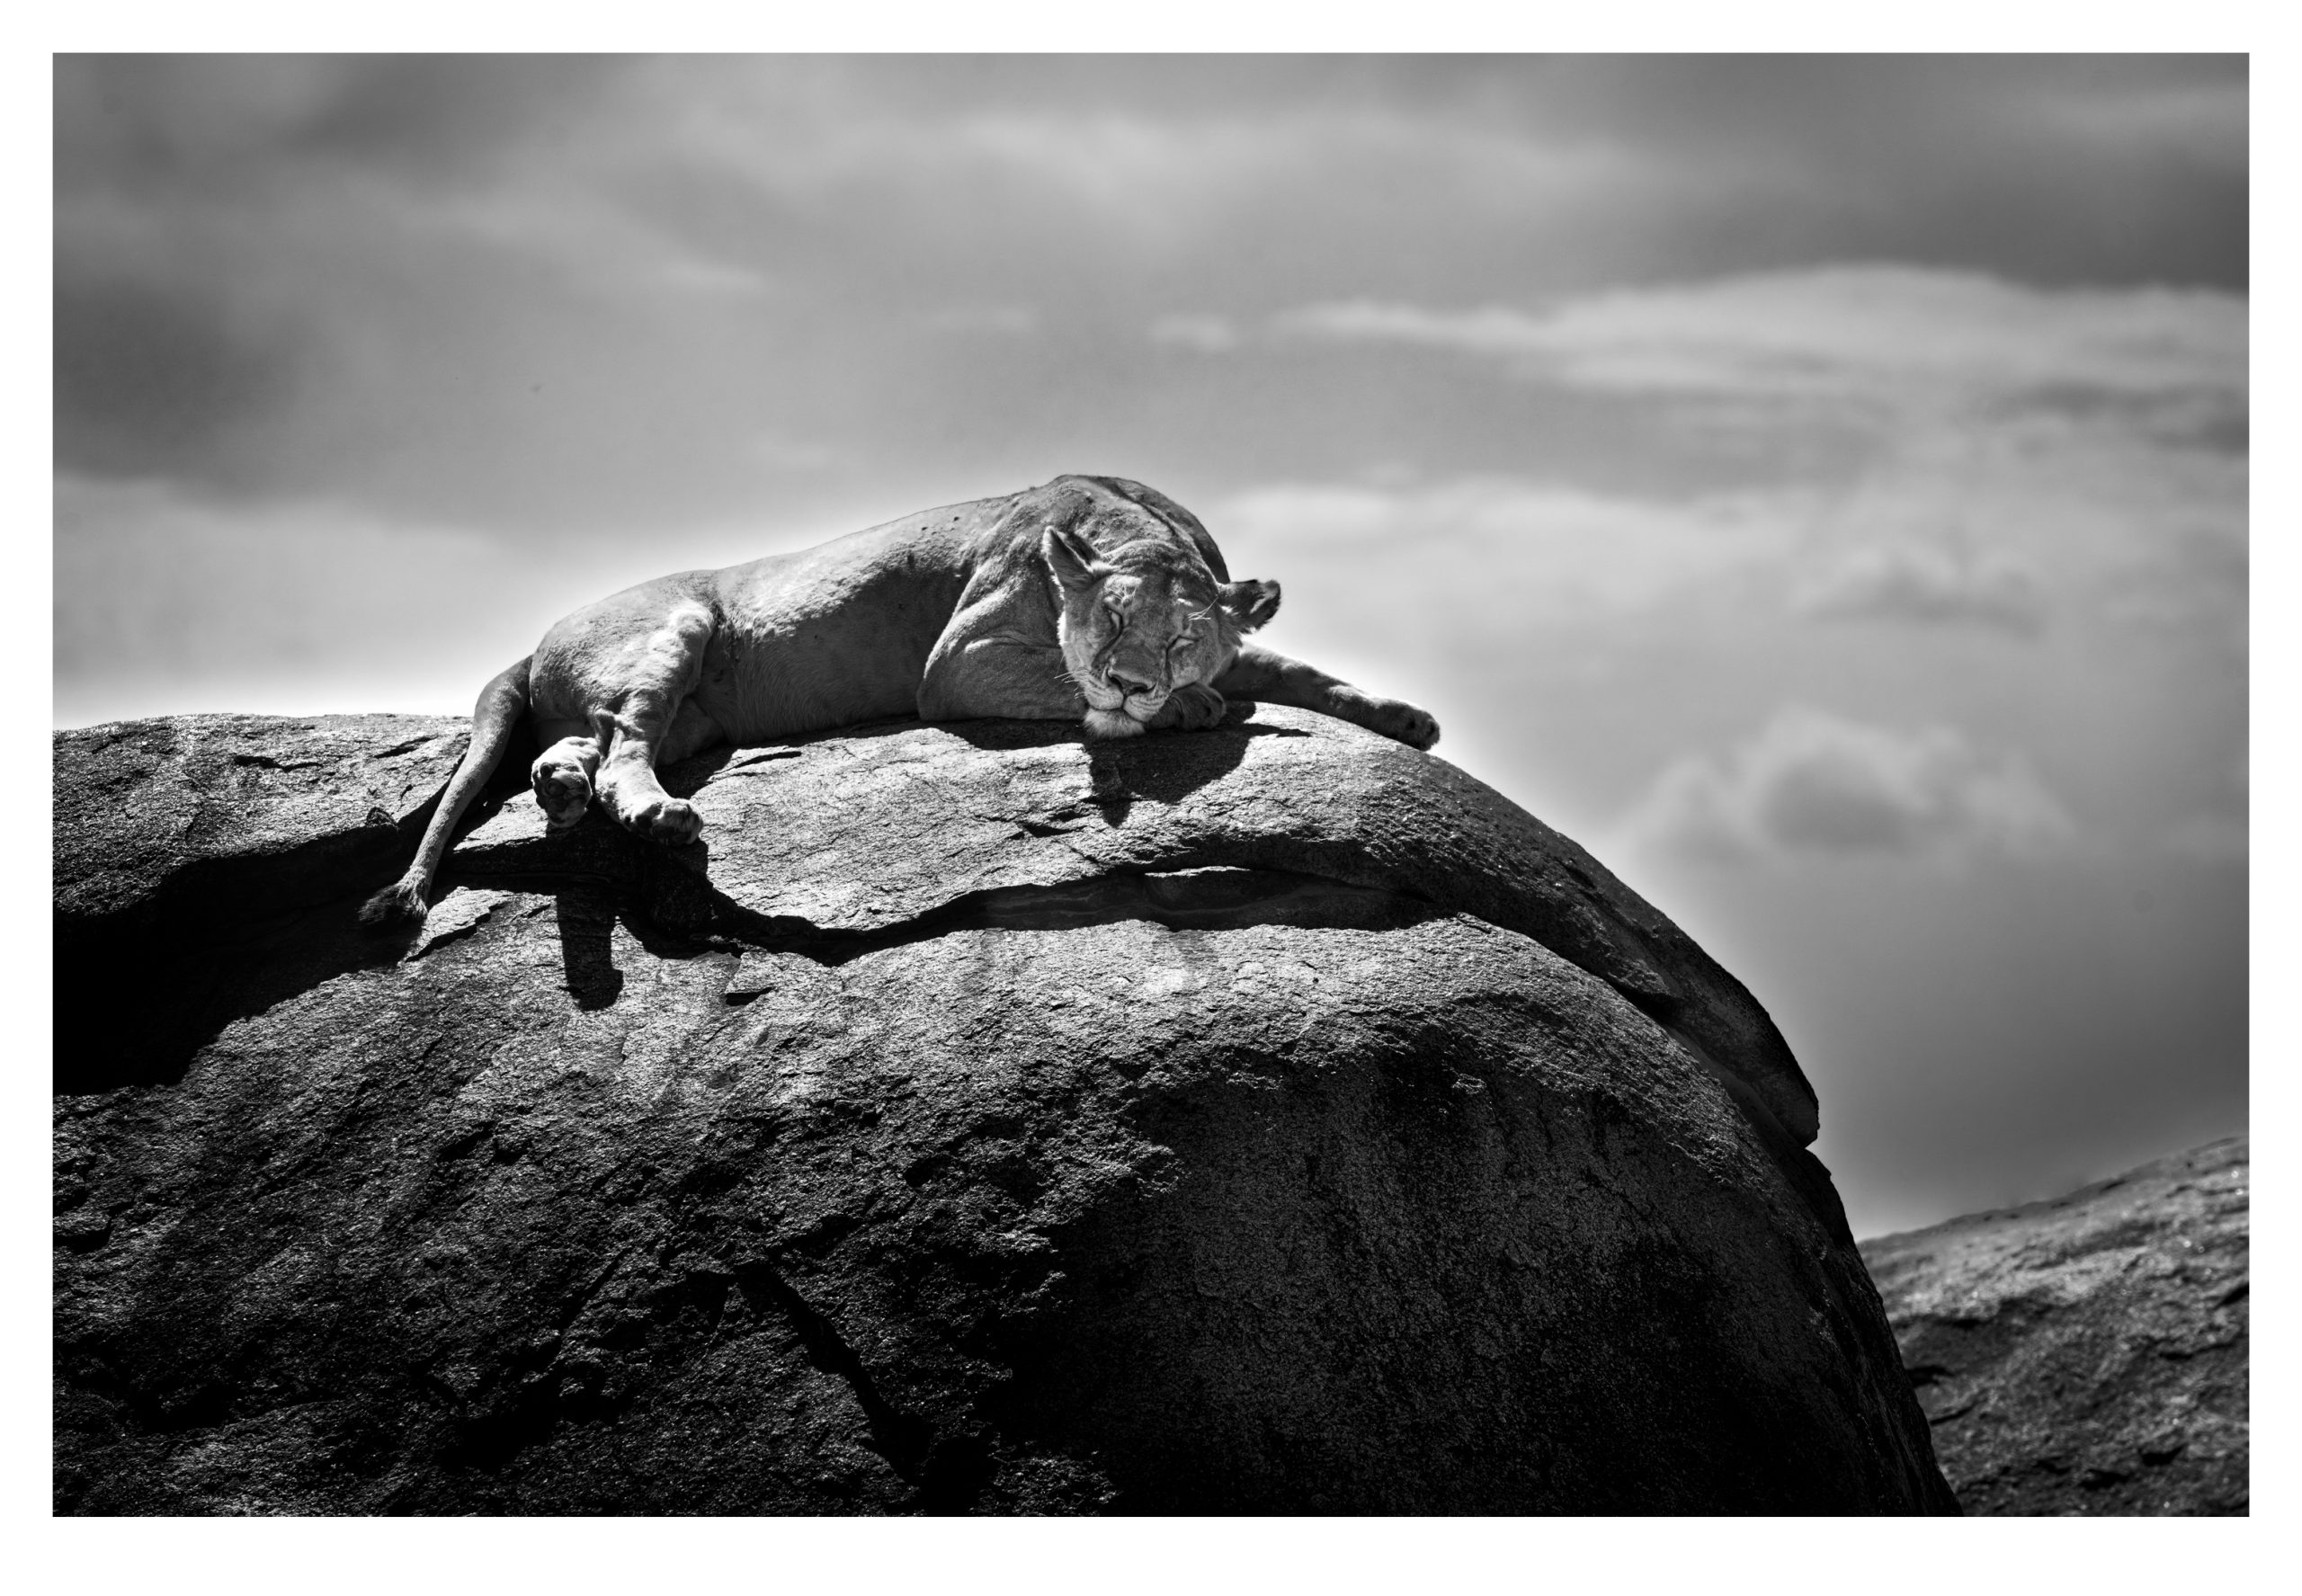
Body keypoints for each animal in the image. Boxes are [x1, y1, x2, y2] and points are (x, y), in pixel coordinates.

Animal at [361, 474, 1440, 925]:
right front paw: (1178, 712)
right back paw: (655, 813)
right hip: (679, 622)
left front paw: (1406, 717)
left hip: (683, 711)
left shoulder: (1236, 639)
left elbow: (1300, 671)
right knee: (626, 741)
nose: (1135, 680)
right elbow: (1075, 687)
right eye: (1107, 624)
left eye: (1177, 638)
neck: (1134, 527)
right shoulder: (956, 661)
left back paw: (562, 794)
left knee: (577, 746)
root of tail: (539, 634)